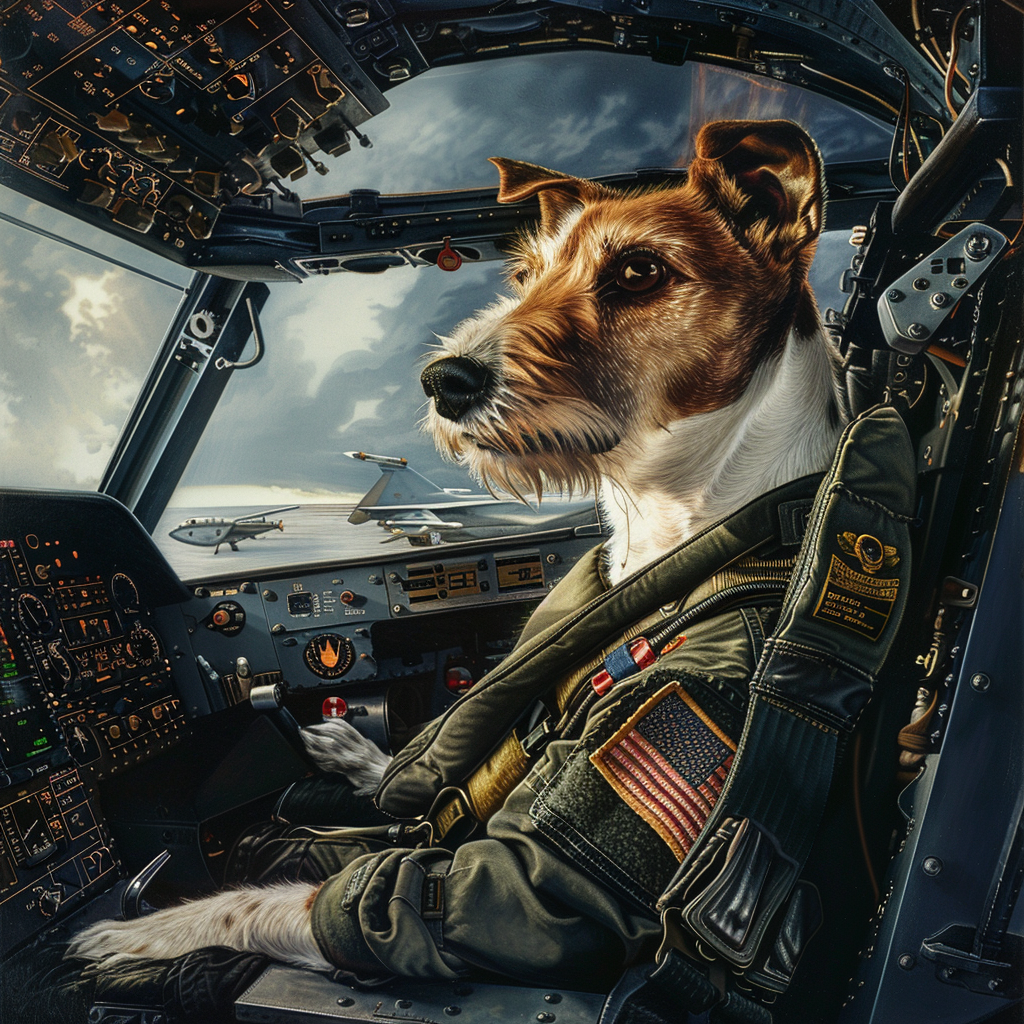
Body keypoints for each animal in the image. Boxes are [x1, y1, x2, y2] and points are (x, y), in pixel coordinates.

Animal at [68, 119, 843, 974]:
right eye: (525, 274)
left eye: (640, 270)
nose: (445, 379)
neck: (670, 516)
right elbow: (402, 768)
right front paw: (349, 749)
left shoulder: (480, 886)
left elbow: (282, 901)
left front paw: (144, 929)